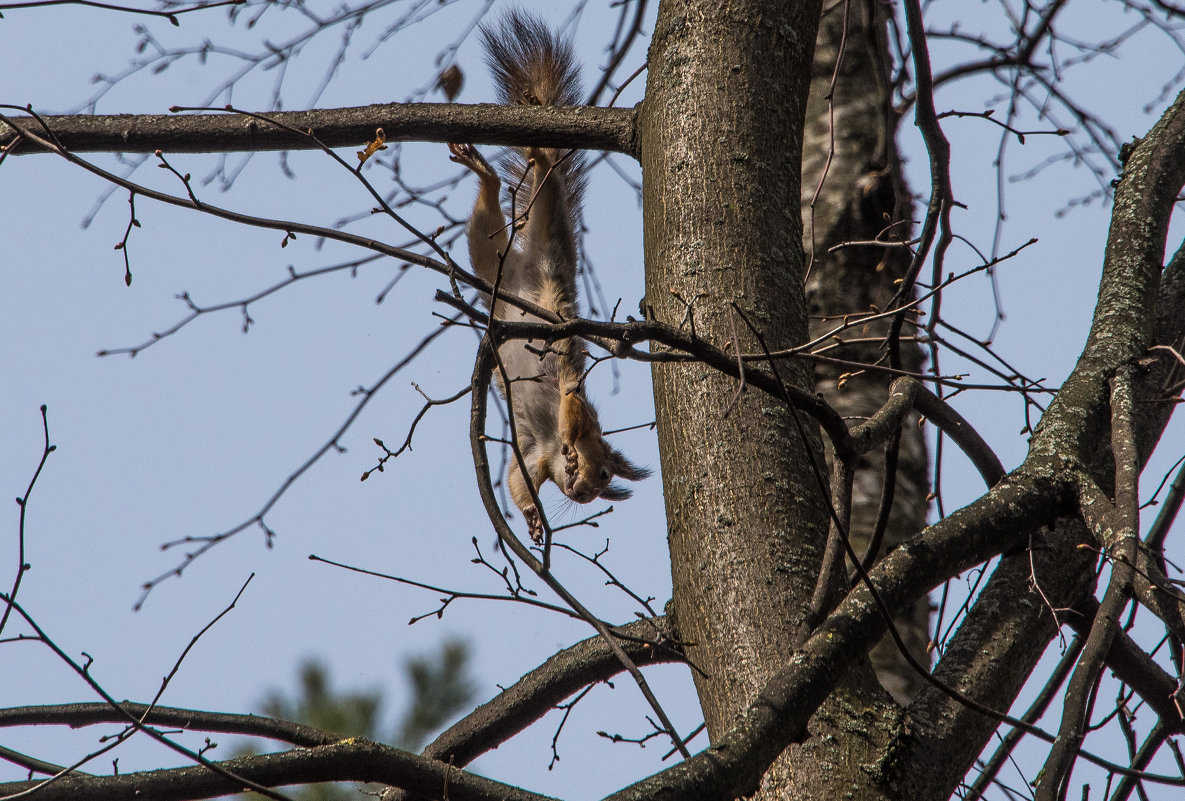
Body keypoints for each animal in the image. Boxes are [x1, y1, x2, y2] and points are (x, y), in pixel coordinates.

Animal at [445, 9, 649, 540]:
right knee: (547, 174)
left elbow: (517, 481)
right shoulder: (573, 406)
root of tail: (523, 271)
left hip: (486, 252)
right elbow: (573, 403)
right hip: (547, 223)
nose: (578, 491)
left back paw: (486, 172)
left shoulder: (533, 458)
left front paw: (533, 518)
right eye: (603, 473)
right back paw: (536, 145)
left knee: (487, 219)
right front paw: (573, 444)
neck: (552, 449)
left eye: (599, 492)